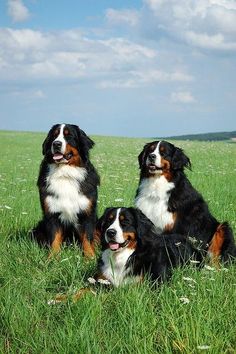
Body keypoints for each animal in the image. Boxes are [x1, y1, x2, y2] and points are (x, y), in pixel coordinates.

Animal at [32, 122, 99, 258]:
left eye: (69, 136)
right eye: (54, 135)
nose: (56, 144)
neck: (65, 174)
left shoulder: (87, 213)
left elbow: (87, 238)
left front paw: (89, 257)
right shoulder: (52, 213)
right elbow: (54, 238)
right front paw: (52, 258)